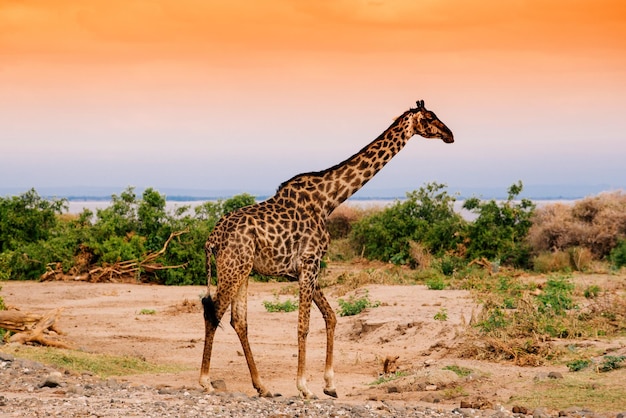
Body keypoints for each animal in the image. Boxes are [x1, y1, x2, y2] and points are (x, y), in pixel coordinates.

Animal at [202, 99, 450, 400]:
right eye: (430, 117)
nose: (450, 135)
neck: (329, 199)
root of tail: (212, 238)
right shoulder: (310, 262)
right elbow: (304, 325)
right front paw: (304, 387)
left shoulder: (304, 268)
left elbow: (330, 317)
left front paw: (330, 384)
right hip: (233, 266)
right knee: (214, 312)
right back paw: (205, 381)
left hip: (243, 270)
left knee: (239, 321)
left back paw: (263, 387)